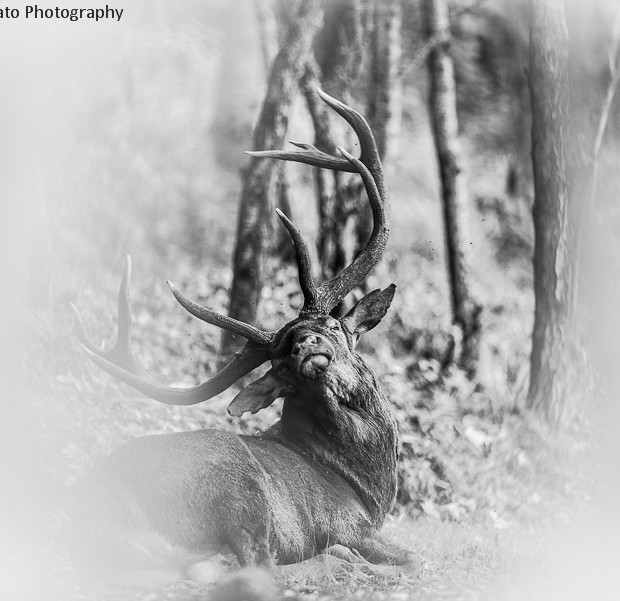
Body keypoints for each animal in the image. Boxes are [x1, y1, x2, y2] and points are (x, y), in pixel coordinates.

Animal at [70, 90, 414, 584]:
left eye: (333, 326)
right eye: (282, 363)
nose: (303, 344)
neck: (370, 491)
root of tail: (93, 519)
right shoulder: (350, 522)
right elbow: (414, 558)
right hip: (238, 485)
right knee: (256, 565)